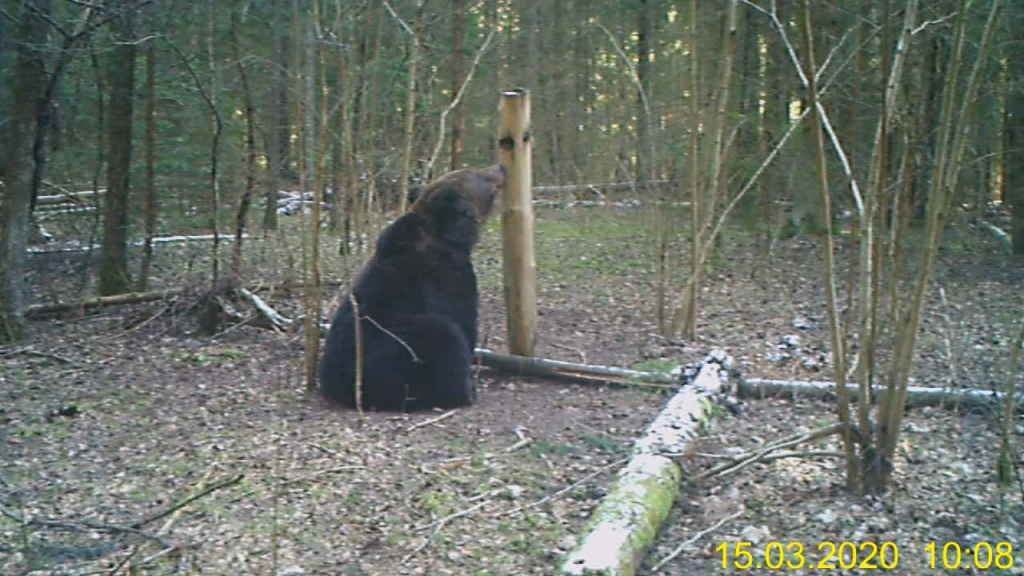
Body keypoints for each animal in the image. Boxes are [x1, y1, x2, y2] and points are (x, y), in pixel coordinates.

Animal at [319, 165, 503, 407]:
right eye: (477, 173)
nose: (500, 167)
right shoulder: (449, 277)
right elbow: (462, 326)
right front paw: (467, 385)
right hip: (383, 355)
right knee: (441, 331)